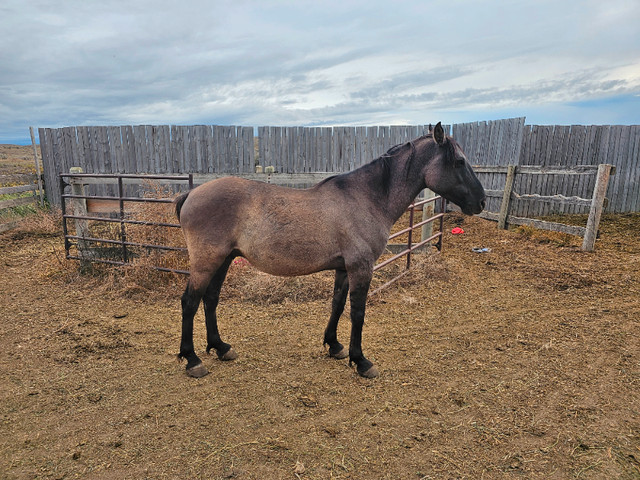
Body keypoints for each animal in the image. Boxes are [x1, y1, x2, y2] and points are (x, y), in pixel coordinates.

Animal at [175, 123, 484, 378]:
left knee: (210, 300)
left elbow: (337, 304)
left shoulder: (344, 268)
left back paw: (220, 347)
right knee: (190, 302)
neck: (366, 198)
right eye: (459, 161)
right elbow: (357, 312)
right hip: (207, 261)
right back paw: (192, 360)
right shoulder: (361, 267)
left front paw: (334, 346)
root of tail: (191, 194)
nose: (480, 202)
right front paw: (361, 361)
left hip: (223, 260)